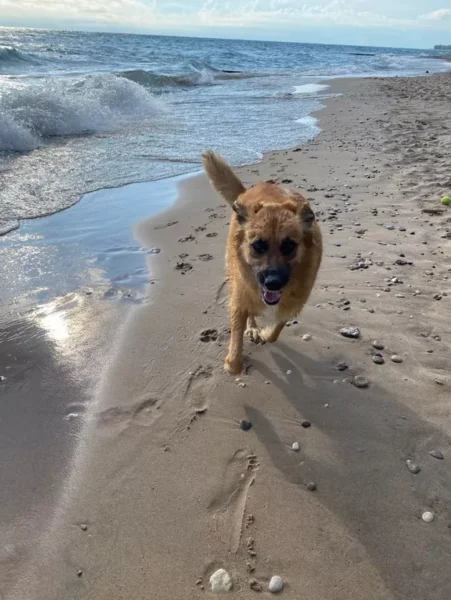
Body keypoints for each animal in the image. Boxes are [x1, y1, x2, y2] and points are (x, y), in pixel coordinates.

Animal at [203, 150, 324, 376]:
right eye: (258, 245)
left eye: (289, 245)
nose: (273, 283)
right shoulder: (240, 299)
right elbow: (236, 353)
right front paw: (233, 362)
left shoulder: (293, 303)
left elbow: (277, 330)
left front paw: (267, 334)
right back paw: (252, 327)